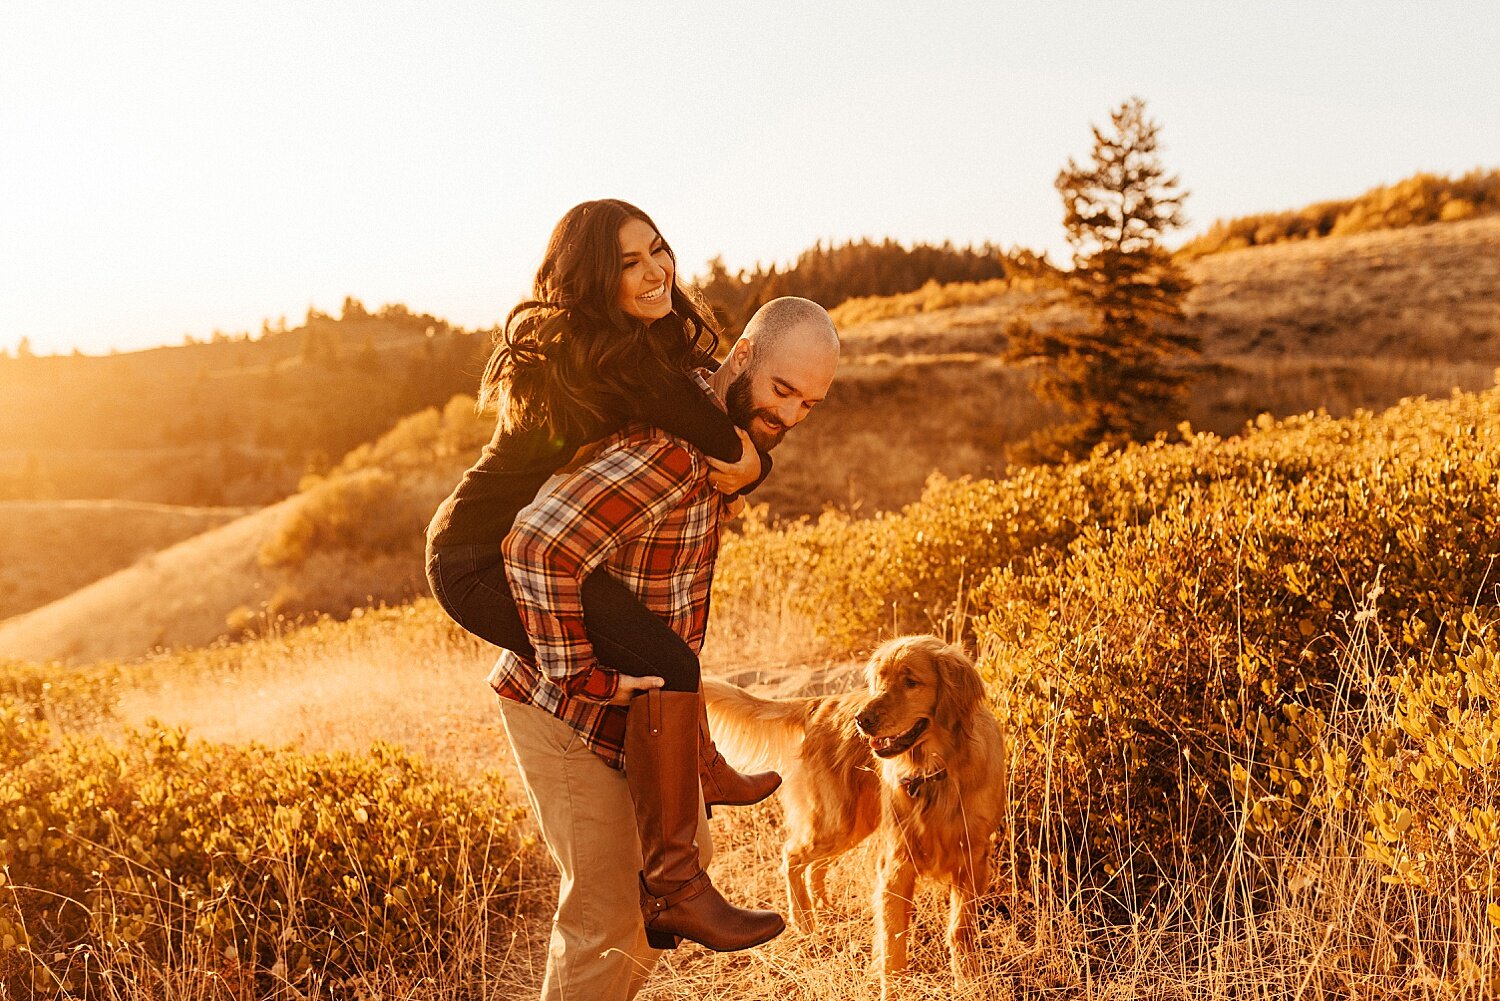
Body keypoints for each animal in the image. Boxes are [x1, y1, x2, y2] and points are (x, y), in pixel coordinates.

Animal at [702, 633, 1008, 996]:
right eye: (879, 680)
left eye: (911, 682)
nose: (862, 720)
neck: (935, 771)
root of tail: (820, 703)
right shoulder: (896, 863)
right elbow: (892, 943)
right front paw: (893, 990)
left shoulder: (972, 861)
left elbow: (960, 931)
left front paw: (967, 981)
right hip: (838, 821)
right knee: (792, 856)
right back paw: (805, 923)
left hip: (852, 824)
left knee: (813, 866)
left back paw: (824, 909)